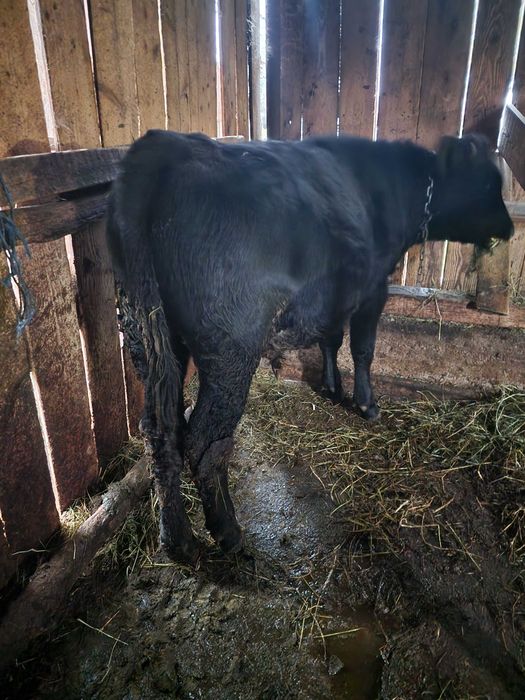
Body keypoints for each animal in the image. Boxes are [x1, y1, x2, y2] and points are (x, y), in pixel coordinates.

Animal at [107, 130, 513, 562]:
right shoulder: (373, 287)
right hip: (230, 349)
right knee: (205, 440)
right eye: (489, 183)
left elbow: (331, 338)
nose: (509, 228)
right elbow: (363, 347)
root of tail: (163, 145)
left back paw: (177, 539)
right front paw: (367, 404)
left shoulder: (333, 295)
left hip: (150, 339)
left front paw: (332, 385)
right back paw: (228, 530)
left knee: (160, 432)